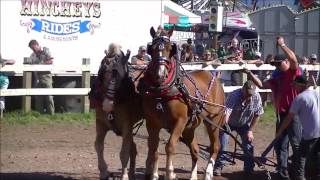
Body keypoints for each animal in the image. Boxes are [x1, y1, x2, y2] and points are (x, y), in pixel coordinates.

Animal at [89, 44, 142, 180]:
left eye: (118, 77)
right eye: (103, 74)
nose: (107, 105)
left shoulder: (126, 125)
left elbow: (124, 152)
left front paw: (124, 175)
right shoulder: (100, 123)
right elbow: (98, 145)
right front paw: (104, 172)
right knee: (133, 148)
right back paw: (132, 173)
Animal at [140, 27, 225, 179]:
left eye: (170, 48)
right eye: (152, 49)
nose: (160, 75)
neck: (163, 91)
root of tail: (214, 78)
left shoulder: (180, 121)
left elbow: (169, 146)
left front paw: (170, 173)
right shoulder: (152, 123)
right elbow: (154, 148)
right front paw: (154, 175)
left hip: (213, 121)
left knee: (215, 146)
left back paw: (208, 173)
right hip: (189, 127)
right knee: (195, 150)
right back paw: (193, 176)